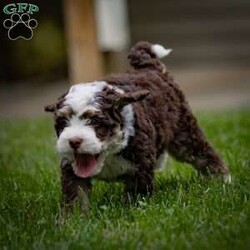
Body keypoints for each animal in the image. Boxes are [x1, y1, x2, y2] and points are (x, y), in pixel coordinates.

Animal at [44, 41, 230, 211]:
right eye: (63, 123)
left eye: (95, 121)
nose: (74, 141)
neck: (109, 153)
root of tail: (150, 68)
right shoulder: (71, 169)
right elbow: (76, 194)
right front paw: (72, 219)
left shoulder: (140, 167)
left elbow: (136, 196)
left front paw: (133, 213)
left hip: (183, 131)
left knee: (202, 153)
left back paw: (223, 180)